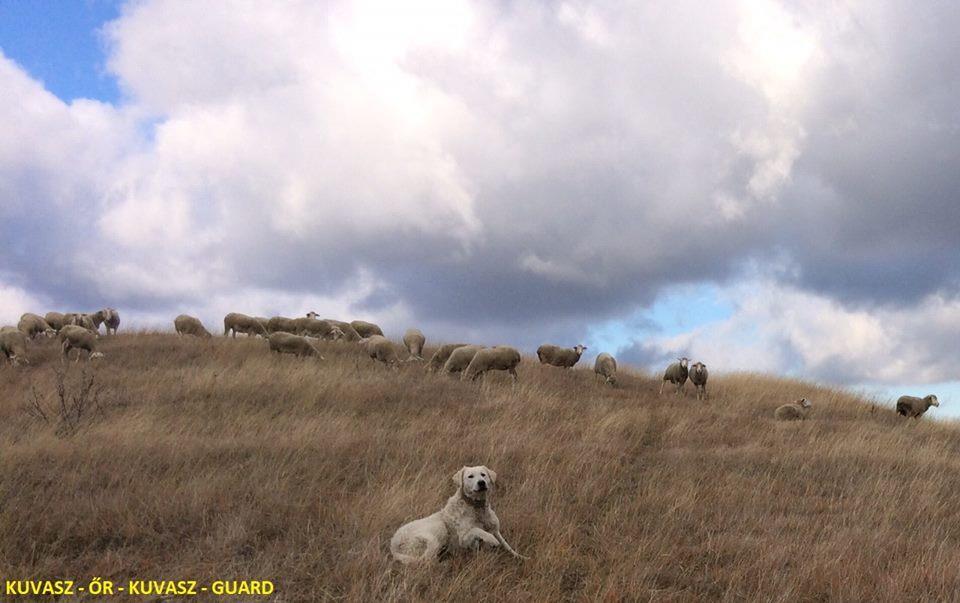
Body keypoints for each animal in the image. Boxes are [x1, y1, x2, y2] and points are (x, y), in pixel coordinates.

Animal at [388, 468, 524, 568]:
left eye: (483, 475)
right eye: (470, 476)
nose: (481, 482)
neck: (476, 508)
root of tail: (393, 546)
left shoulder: (495, 529)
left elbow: (507, 545)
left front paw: (520, 557)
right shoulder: (463, 539)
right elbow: (477, 530)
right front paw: (491, 539)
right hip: (436, 531)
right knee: (428, 562)